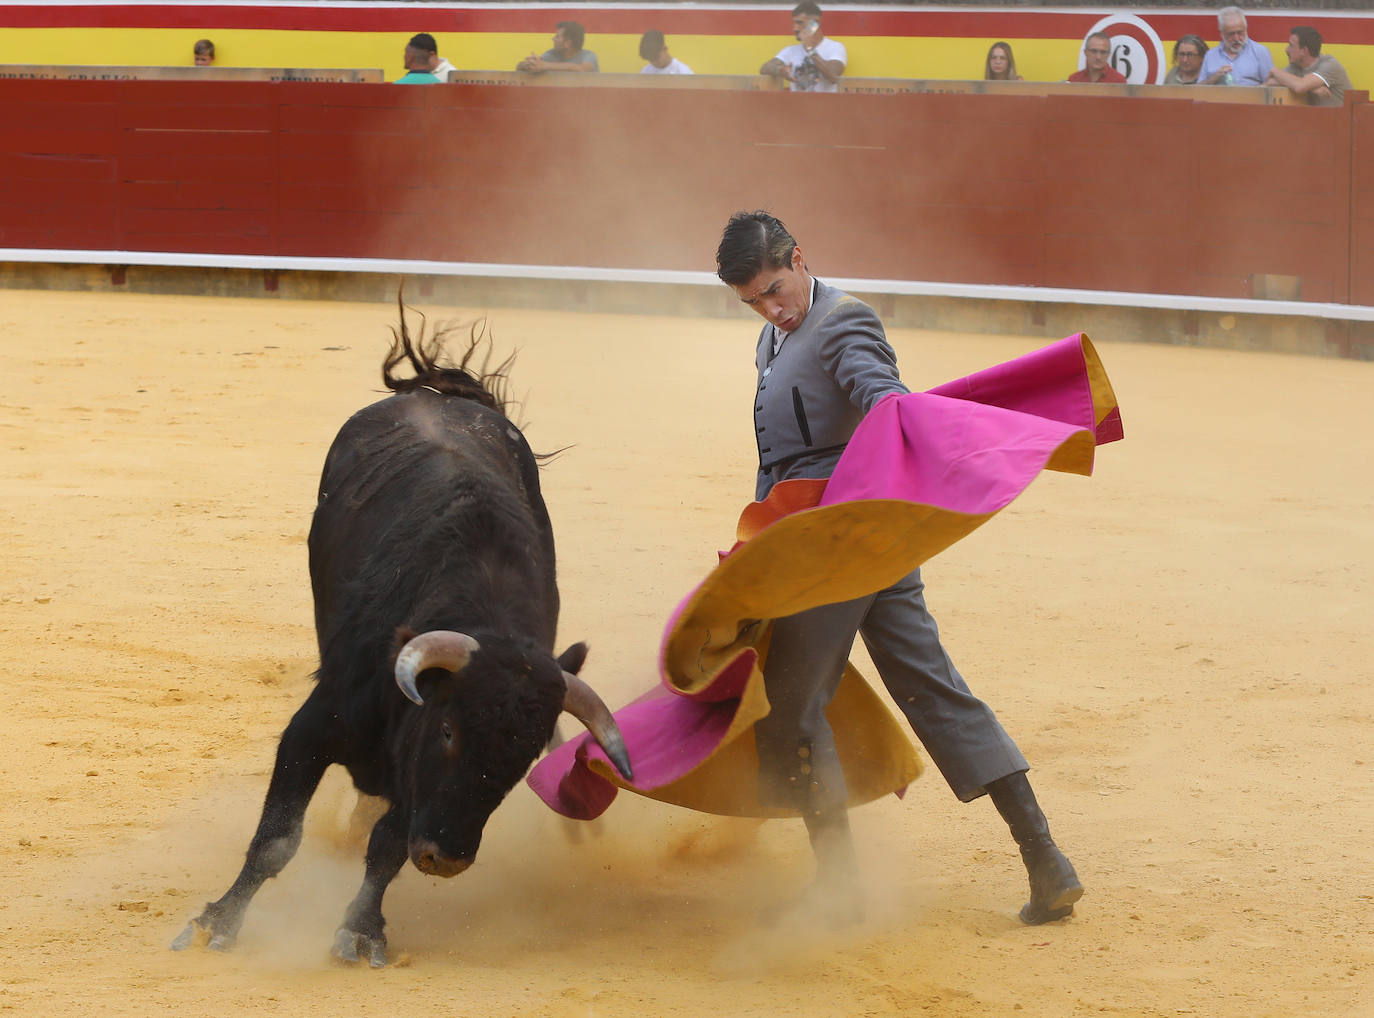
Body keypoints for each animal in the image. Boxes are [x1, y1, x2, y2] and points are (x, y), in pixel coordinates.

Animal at [173, 326, 637, 967]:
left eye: (524, 759)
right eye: (447, 730)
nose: (447, 858)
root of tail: (438, 394)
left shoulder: (408, 788)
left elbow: (388, 846)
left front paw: (362, 929)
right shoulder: (310, 730)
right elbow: (277, 839)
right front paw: (218, 921)